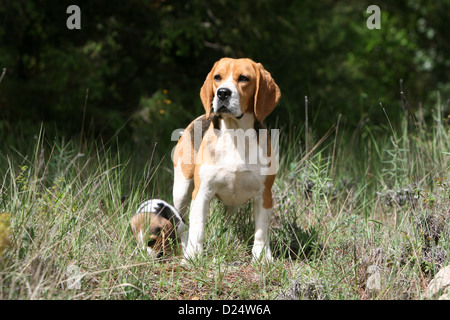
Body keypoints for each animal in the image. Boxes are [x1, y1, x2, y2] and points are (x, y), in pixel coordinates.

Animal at [174, 57, 280, 262]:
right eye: (217, 77)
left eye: (244, 78)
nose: (222, 93)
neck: (235, 135)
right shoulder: (201, 192)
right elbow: (197, 228)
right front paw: (193, 255)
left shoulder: (264, 195)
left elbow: (261, 231)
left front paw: (262, 257)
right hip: (181, 191)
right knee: (182, 225)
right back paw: (184, 248)